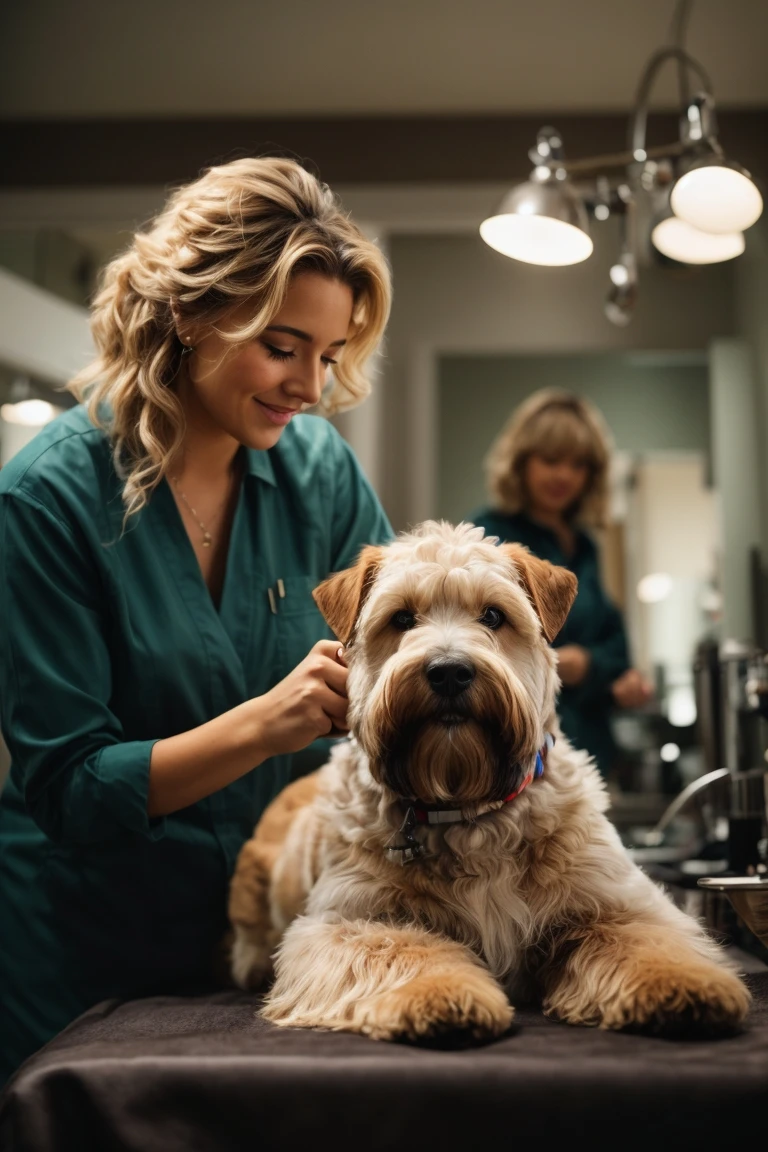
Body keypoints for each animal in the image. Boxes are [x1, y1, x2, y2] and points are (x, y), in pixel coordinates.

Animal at [226, 525, 750, 1046]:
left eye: (494, 615)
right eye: (402, 618)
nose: (449, 671)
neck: (467, 806)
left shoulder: (617, 905)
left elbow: (644, 940)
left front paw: (681, 982)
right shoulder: (344, 923)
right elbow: (405, 949)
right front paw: (439, 993)